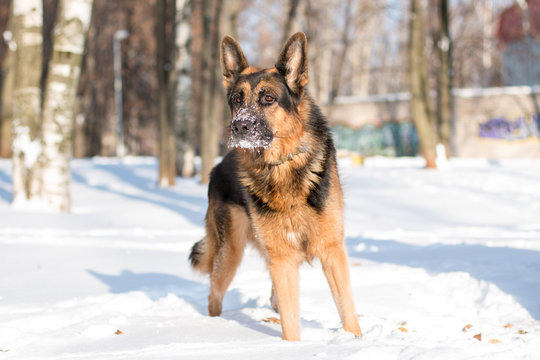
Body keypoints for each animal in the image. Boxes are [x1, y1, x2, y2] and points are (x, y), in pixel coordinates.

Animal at [190, 32, 362, 342]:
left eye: (268, 98)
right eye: (237, 99)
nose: (239, 127)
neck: (281, 165)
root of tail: (217, 166)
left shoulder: (332, 251)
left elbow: (346, 310)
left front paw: (356, 340)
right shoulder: (282, 260)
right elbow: (291, 323)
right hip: (230, 252)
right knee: (214, 296)